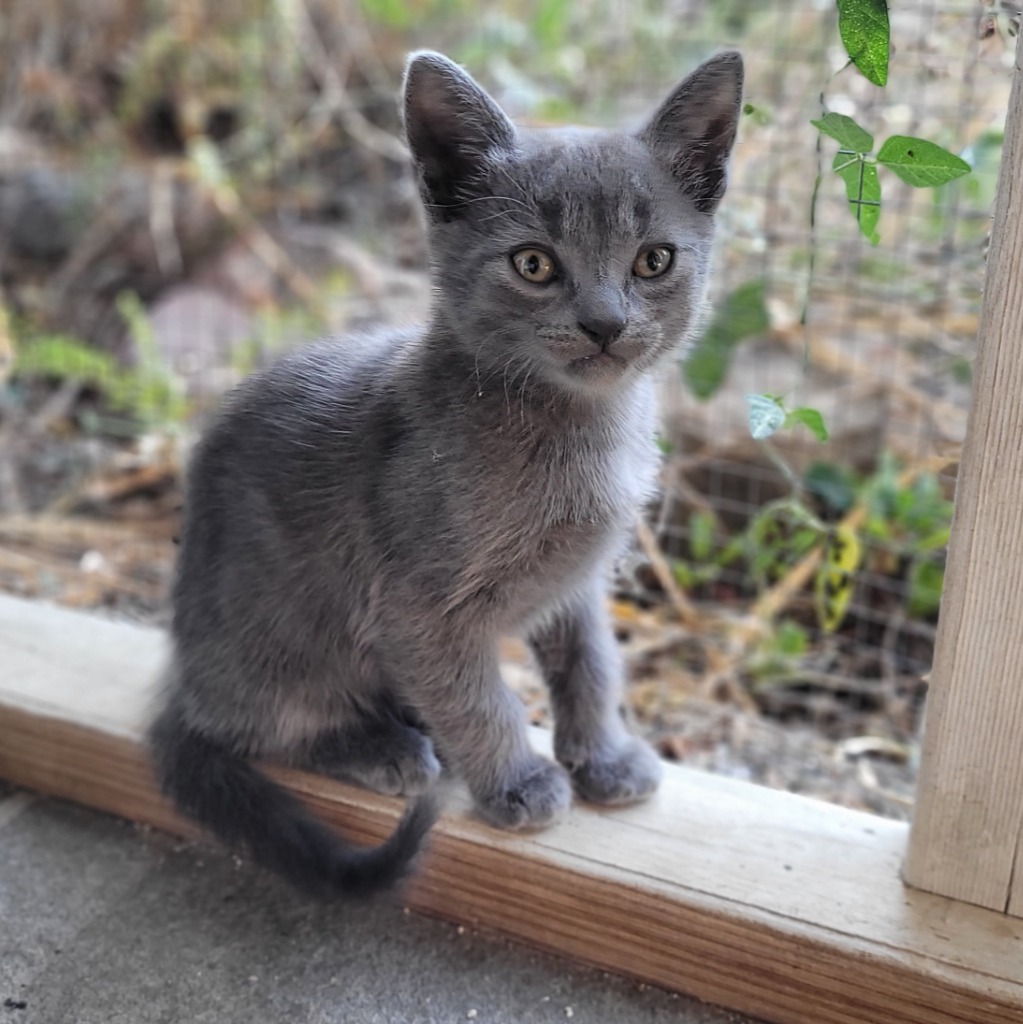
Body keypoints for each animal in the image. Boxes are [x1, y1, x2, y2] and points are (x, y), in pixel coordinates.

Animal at [148, 48, 743, 899]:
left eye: (652, 260)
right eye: (533, 263)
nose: (604, 323)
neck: (578, 432)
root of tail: (182, 678)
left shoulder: (579, 580)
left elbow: (592, 664)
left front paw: (602, 757)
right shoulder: (417, 606)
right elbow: (479, 698)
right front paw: (519, 783)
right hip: (275, 630)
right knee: (258, 724)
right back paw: (382, 746)